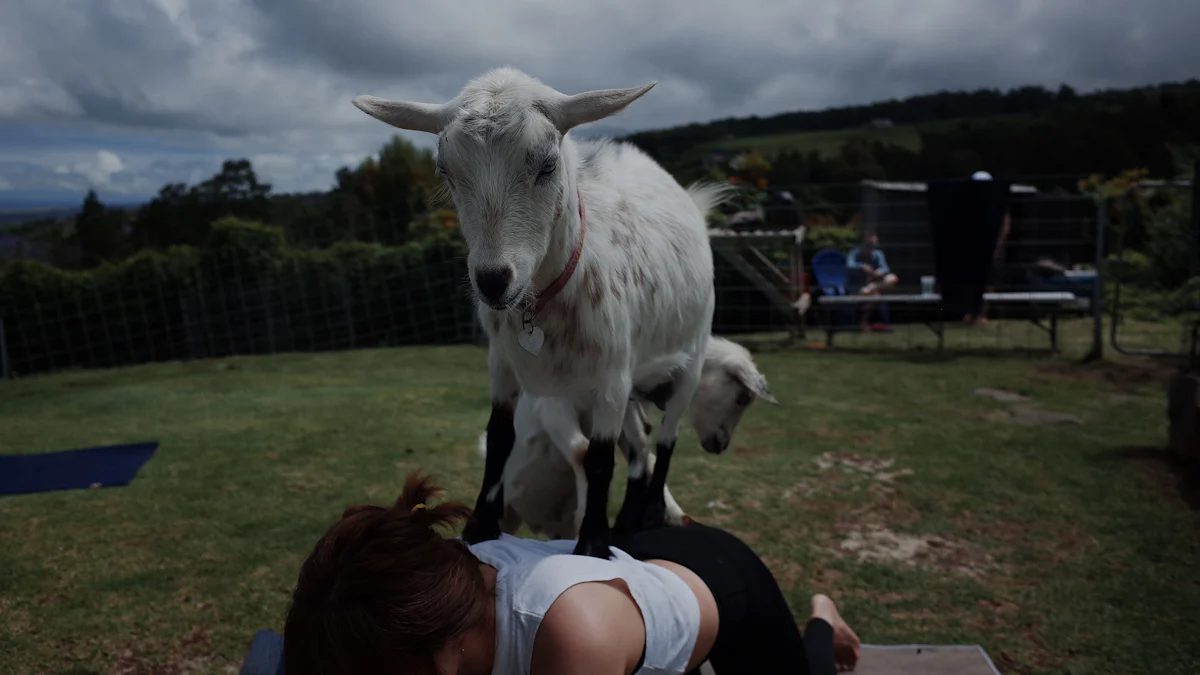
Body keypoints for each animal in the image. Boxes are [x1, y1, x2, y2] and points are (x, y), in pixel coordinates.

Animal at [353, 68, 728, 557]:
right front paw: (479, 528)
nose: (494, 281)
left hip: (689, 354)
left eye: (548, 165)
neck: (541, 308)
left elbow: (600, 457)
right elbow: (500, 439)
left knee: (666, 438)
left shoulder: (611, 376)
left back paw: (645, 514)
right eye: (444, 170)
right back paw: (628, 518)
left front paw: (592, 544)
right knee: (640, 443)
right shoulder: (502, 365)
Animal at [483, 336, 778, 540]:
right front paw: (589, 519)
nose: (721, 445)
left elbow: (646, 455)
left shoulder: (621, 423)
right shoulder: (554, 408)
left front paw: (673, 515)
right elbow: (582, 451)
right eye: (743, 398)